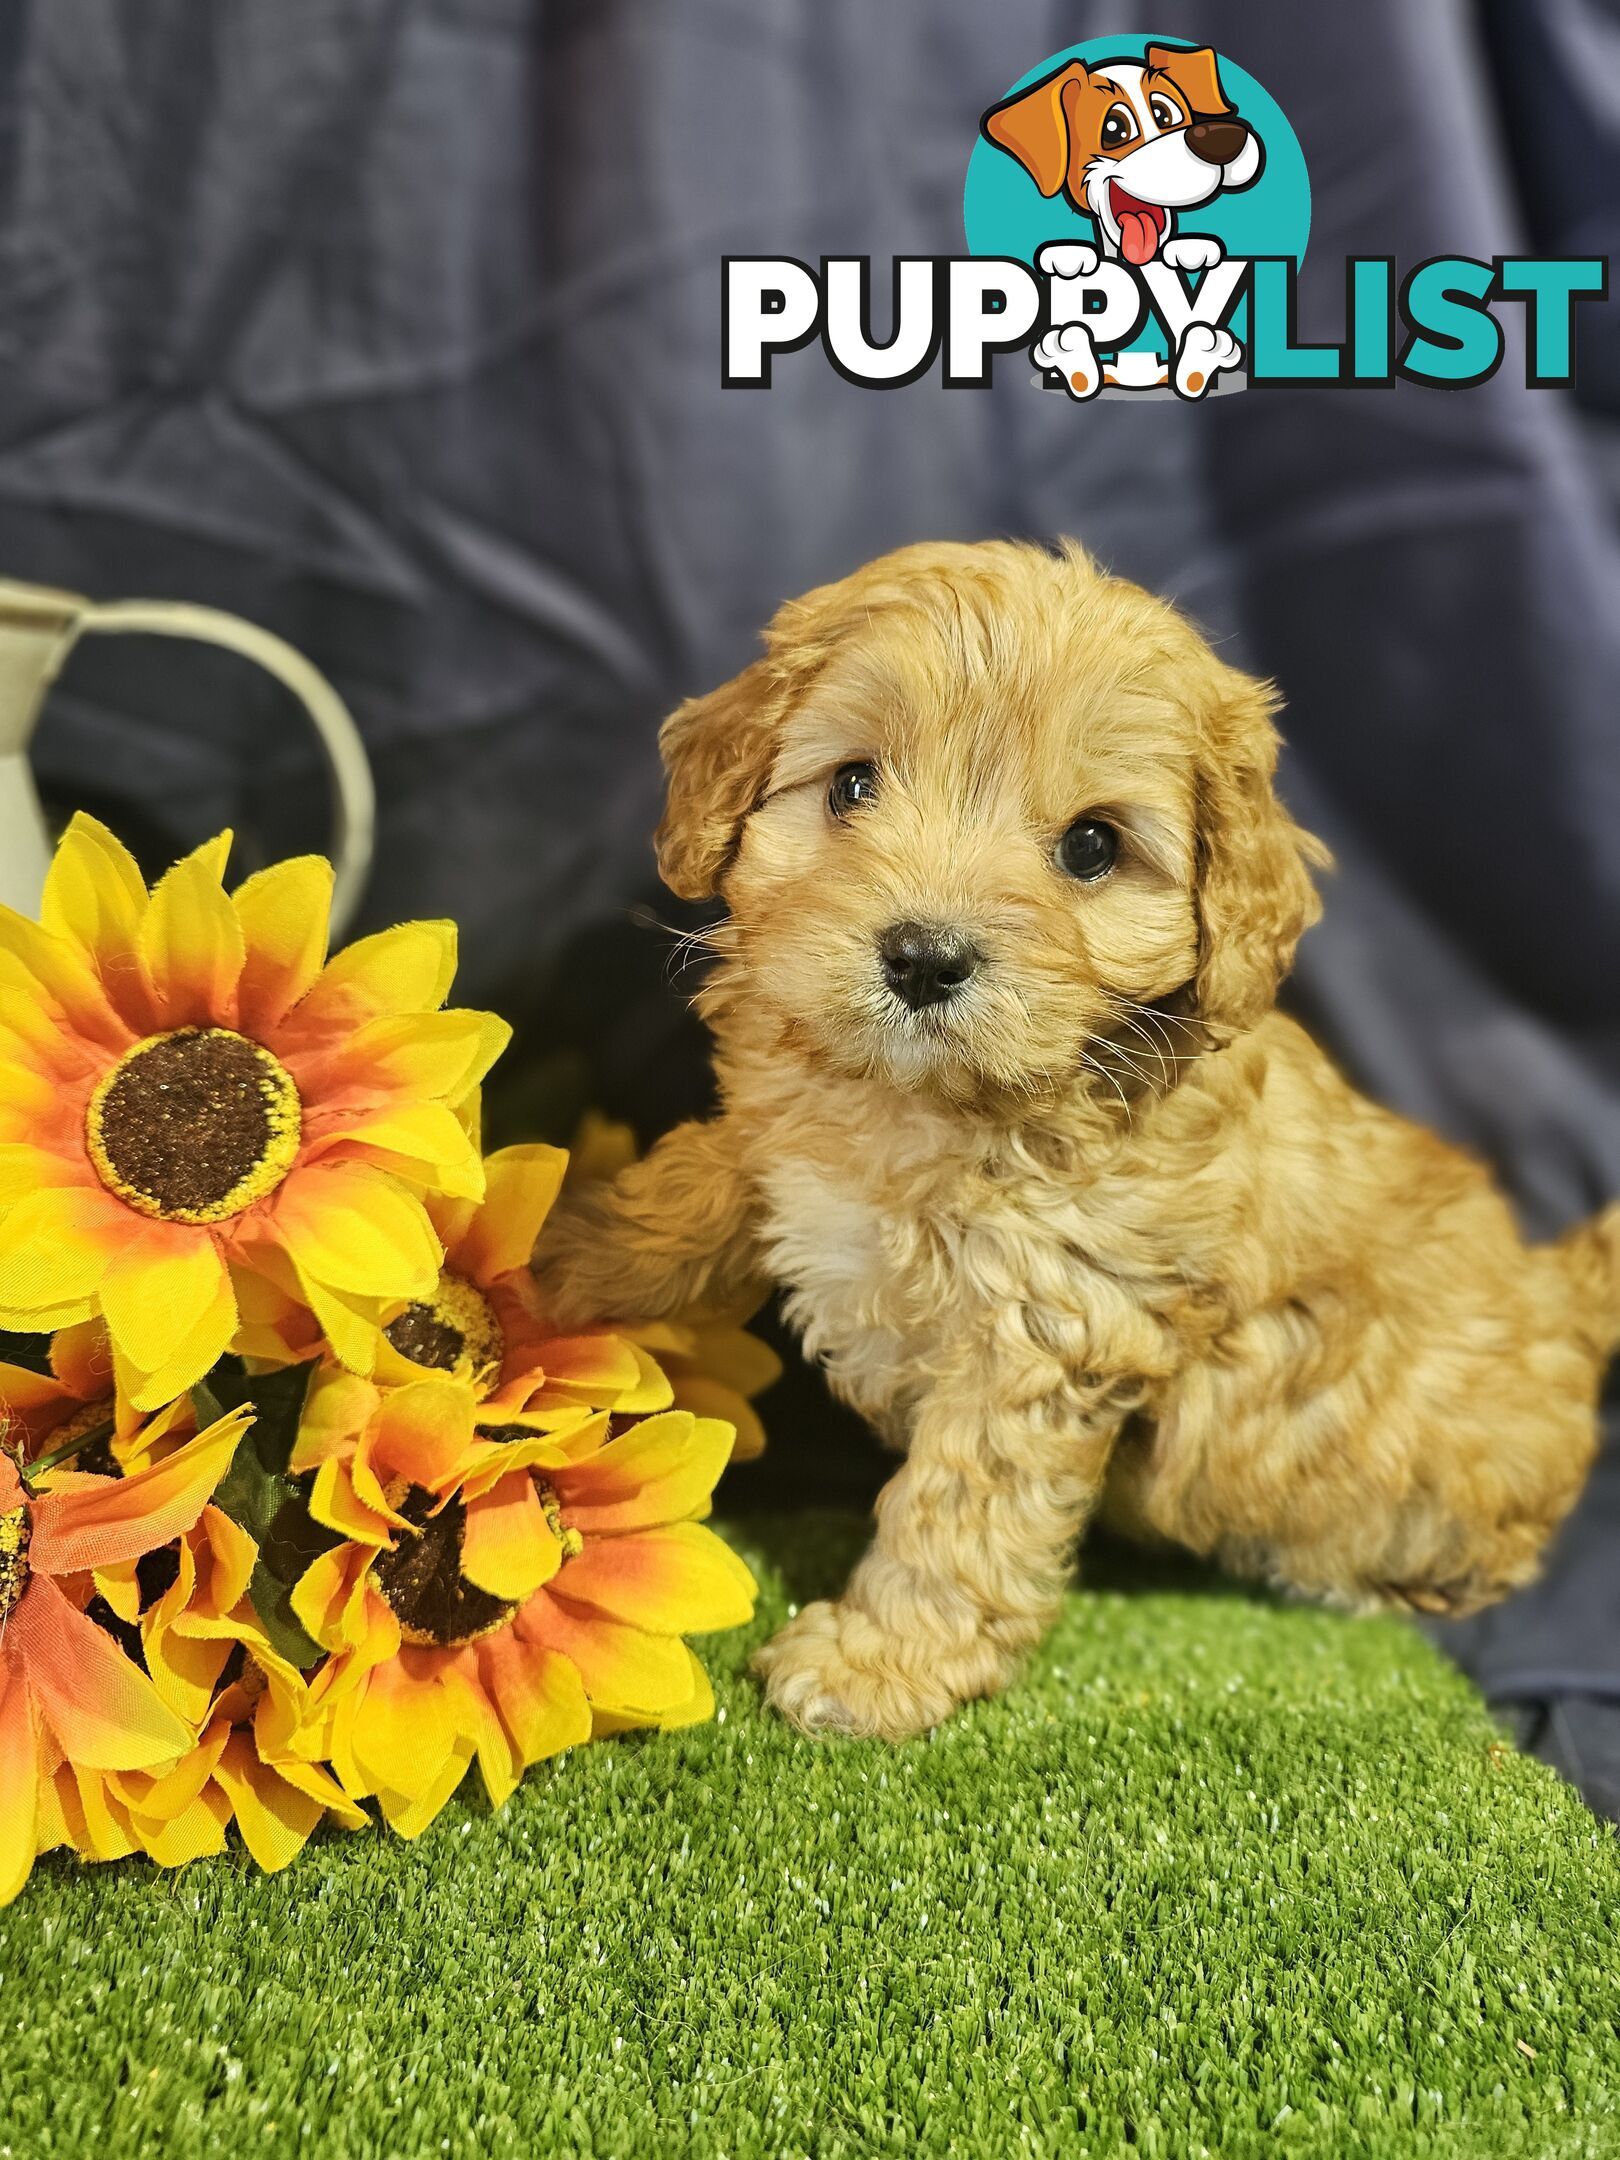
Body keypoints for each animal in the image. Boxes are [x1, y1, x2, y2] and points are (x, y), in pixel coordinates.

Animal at [535, 535, 1620, 1736]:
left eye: (1092, 847)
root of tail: (1568, 1298)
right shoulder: (790, 1128)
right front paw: (558, 1261)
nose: (923, 957)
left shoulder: (1045, 1326)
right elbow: (699, 1179)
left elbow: (962, 1507)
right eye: (853, 784)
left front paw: (880, 1663)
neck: (925, 1108)